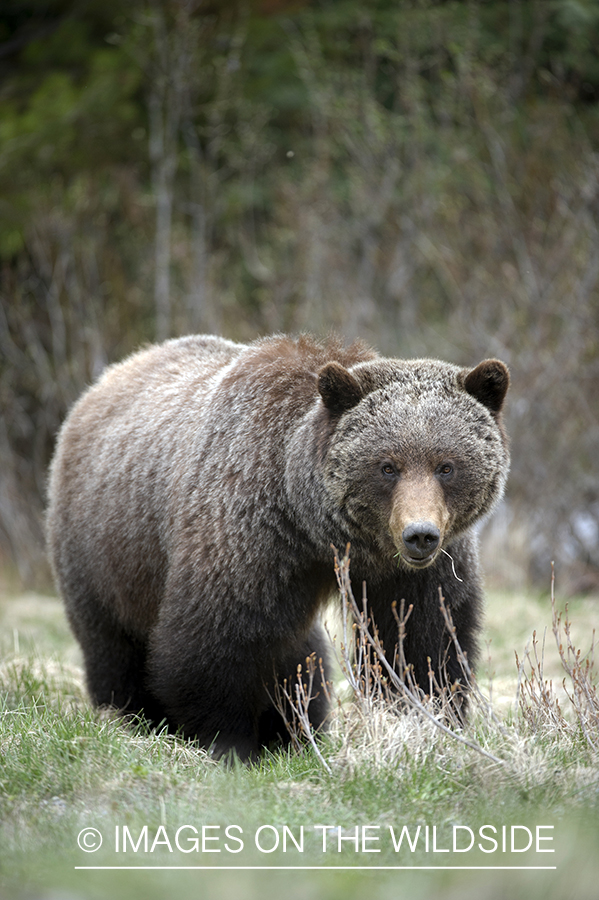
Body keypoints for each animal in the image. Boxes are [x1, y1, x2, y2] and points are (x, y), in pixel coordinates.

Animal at [45, 336, 510, 760]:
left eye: (446, 466)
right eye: (387, 466)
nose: (419, 534)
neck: (316, 528)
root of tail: (104, 382)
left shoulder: (411, 572)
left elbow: (421, 642)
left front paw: (425, 720)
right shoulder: (250, 535)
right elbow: (214, 640)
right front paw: (228, 741)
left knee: (299, 652)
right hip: (106, 550)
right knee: (115, 646)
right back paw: (135, 716)